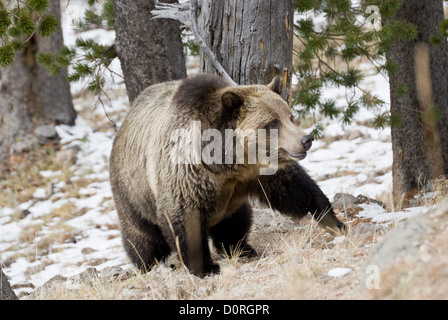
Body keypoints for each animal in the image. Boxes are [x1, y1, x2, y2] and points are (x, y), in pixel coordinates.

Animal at [109, 74, 346, 276]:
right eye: (272, 122)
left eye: (290, 116)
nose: (306, 139)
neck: (229, 162)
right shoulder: (186, 175)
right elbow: (185, 219)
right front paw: (205, 267)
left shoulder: (258, 172)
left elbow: (295, 188)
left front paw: (333, 220)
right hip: (132, 192)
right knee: (143, 236)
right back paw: (149, 263)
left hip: (229, 202)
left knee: (234, 220)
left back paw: (241, 248)